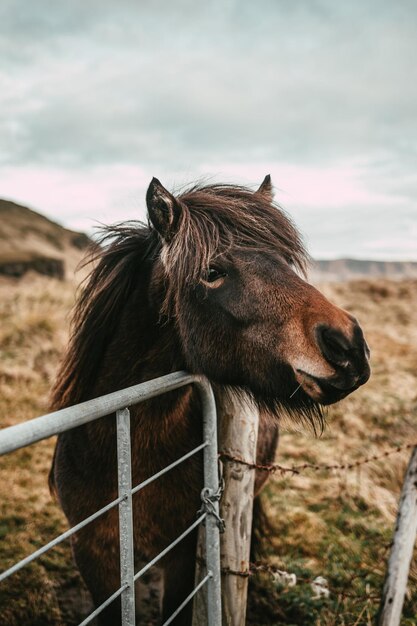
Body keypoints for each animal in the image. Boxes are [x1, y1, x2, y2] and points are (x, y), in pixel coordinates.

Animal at [49, 176, 370, 624]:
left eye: (286, 263)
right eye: (212, 272)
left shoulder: (183, 554)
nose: (347, 347)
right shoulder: (93, 554)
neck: (127, 453)